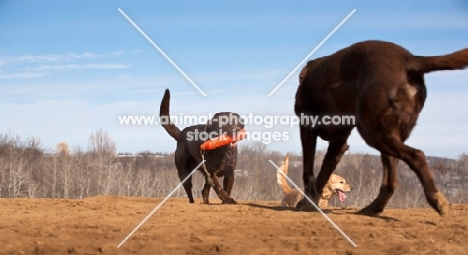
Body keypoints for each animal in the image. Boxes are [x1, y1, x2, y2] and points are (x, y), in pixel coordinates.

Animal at [294, 39, 468, 215]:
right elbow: (323, 173)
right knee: (390, 183)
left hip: (372, 131)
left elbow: (308, 171)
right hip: (387, 134)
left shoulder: (307, 128)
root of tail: (409, 60)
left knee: (417, 155)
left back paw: (436, 200)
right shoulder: (338, 144)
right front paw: (310, 203)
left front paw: (307, 202)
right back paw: (372, 208)